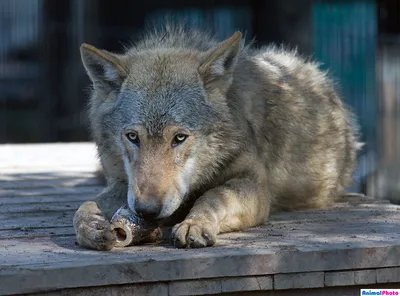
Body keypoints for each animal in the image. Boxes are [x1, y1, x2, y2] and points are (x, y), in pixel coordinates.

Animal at [72, 24, 362, 250]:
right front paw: (92, 226)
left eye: (179, 138)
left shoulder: (254, 186)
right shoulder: (124, 184)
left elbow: (214, 196)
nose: (147, 211)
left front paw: (194, 223)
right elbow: (84, 206)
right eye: (133, 137)